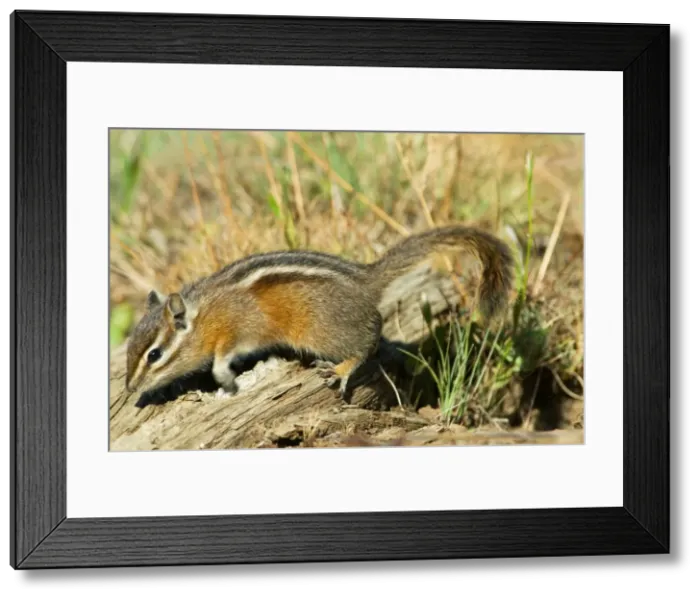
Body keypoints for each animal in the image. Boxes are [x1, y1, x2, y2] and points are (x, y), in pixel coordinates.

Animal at [125, 225, 515, 404]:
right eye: (129, 348)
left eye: (154, 354)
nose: (129, 388)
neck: (202, 317)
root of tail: (365, 278)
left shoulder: (237, 329)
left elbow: (225, 357)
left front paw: (224, 378)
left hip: (321, 332)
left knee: (369, 338)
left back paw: (341, 370)